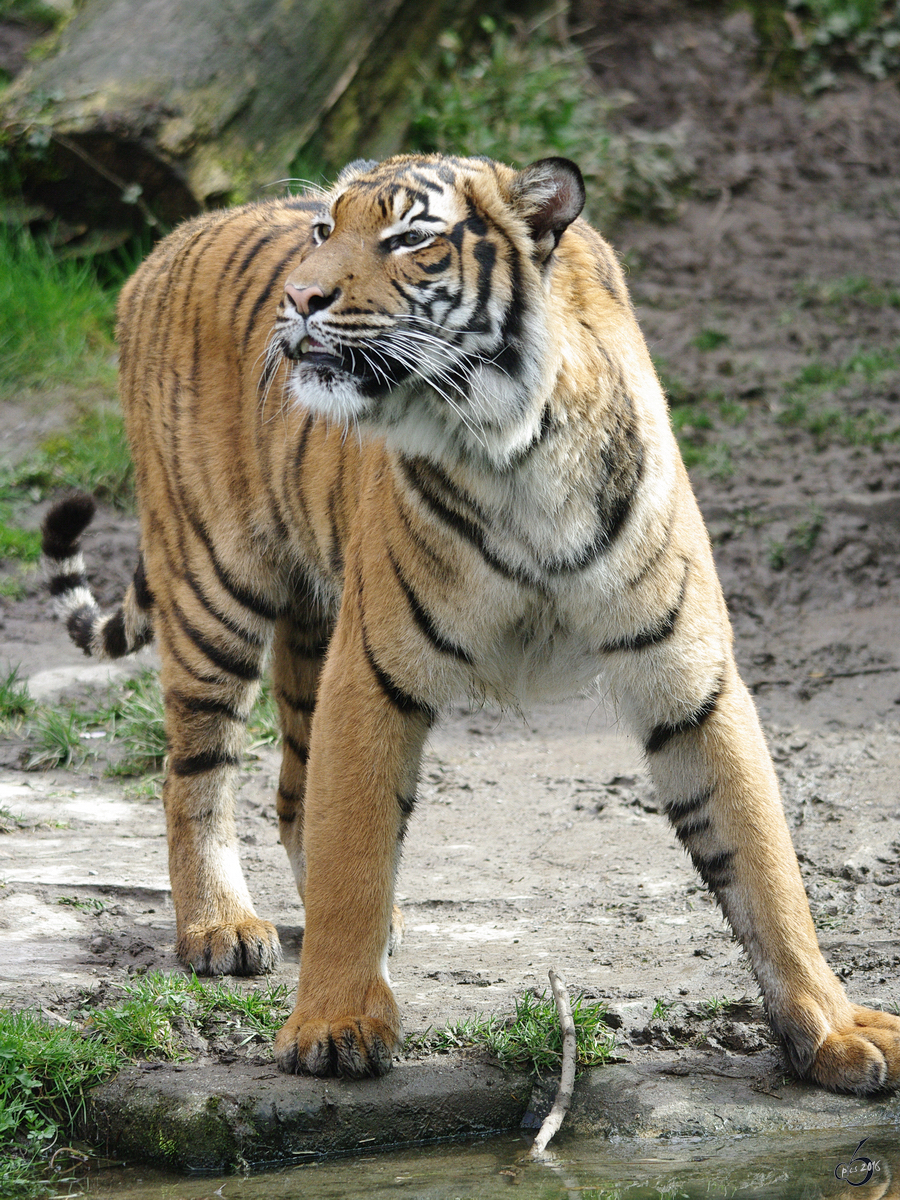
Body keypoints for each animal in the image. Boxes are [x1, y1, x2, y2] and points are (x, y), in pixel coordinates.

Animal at [44, 150, 900, 1089]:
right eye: (325, 229)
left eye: (407, 240)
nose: (298, 298)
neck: (516, 454)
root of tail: (163, 248)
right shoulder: (374, 668)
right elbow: (355, 847)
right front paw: (333, 1024)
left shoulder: (688, 676)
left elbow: (764, 864)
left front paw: (830, 1031)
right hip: (214, 585)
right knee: (192, 770)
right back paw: (220, 929)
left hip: (312, 617)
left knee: (295, 787)